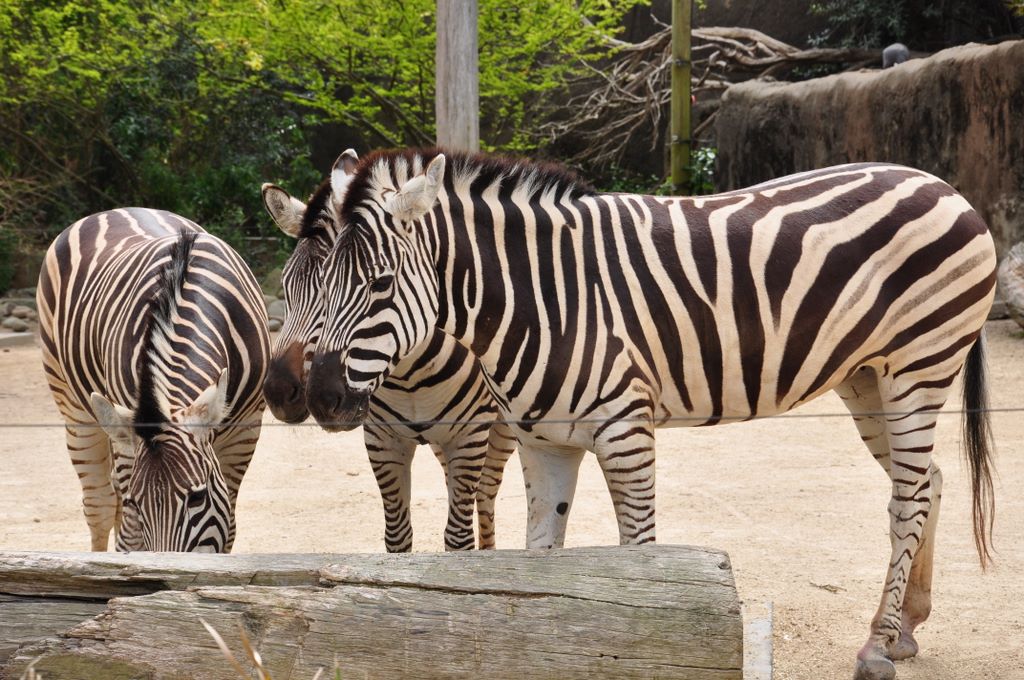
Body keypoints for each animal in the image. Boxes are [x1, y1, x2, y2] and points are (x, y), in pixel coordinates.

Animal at [37, 209, 269, 552]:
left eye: (197, 497)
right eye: (137, 502)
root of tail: (111, 211)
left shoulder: (246, 432)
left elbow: (228, 529)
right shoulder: (130, 434)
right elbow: (131, 538)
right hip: (74, 406)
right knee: (100, 505)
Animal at [260, 150, 514, 551]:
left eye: (327, 289)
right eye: (286, 286)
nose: (278, 391)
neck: (412, 375)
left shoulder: (469, 435)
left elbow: (459, 539)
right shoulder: (381, 439)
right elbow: (397, 536)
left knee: (488, 494)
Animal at [304, 149, 997, 680]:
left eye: (381, 284)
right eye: (300, 284)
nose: (319, 398)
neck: (538, 299)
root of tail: (939, 183)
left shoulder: (625, 432)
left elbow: (640, 561)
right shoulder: (543, 442)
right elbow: (537, 565)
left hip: (920, 365)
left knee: (907, 498)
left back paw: (877, 646)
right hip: (865, 377)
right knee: (927, 482)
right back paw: (906, 627)